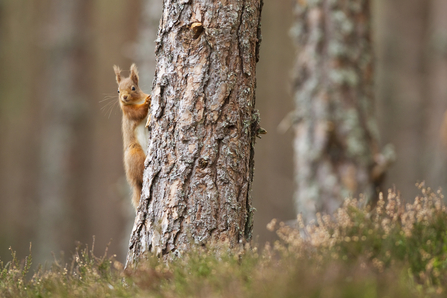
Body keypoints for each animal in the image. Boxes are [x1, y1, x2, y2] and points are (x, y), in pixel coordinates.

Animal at [114, 64, 152, 211]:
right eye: (118, 91)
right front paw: (147, 102)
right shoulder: (128, 112)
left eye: (133, 88)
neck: (137, 100)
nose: (124, 97)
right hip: (134, 153)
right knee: (141, 172)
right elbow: (139, 112)